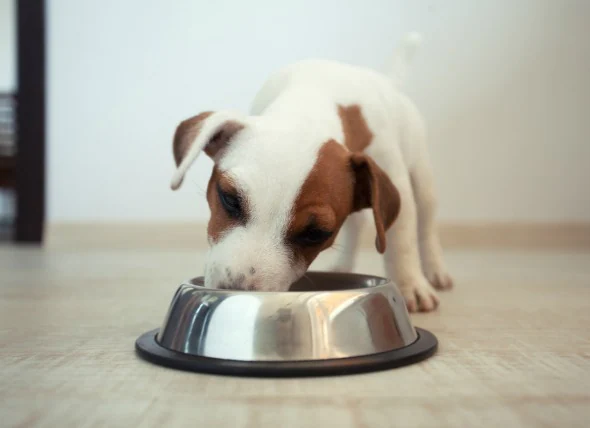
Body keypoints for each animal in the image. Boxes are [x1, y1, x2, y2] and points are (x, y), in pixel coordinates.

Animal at [171, 32, 454, 310]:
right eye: (229, 199)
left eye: (315, 233)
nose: (236, 291)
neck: (310, 101)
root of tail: (387, 80)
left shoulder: (396, 178)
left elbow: (401, 242)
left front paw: (410, 284)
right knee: (358, 222)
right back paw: (343, 266)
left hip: (421, 176)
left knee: (426, 224)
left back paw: (434, 269)